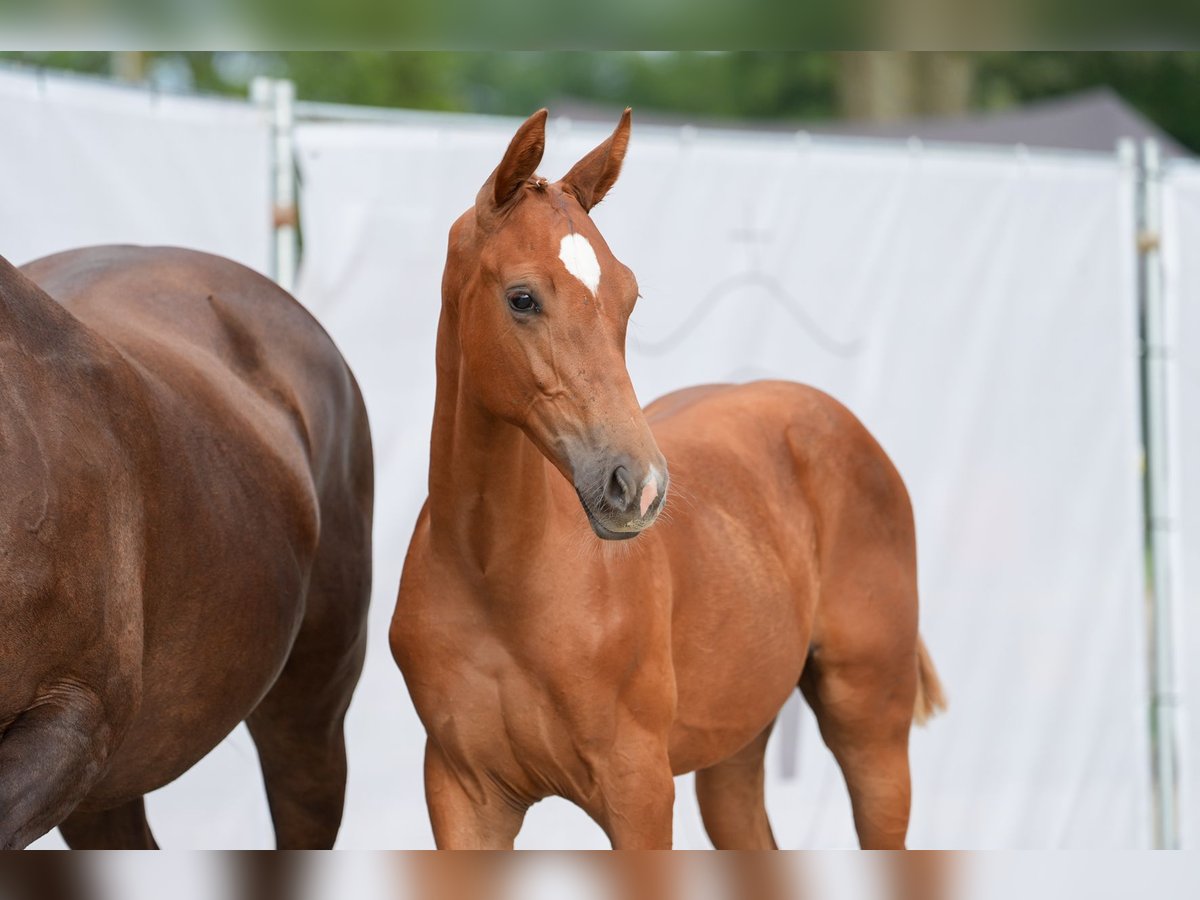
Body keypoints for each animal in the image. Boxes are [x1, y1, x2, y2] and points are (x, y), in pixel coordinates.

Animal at [388, 109, 940, 849]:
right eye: (522, 298)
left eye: (629, 297)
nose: (638, 487)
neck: (498, 577)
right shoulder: (463, 795)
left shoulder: (639, 791)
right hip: (736, 747)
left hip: (872, 731)